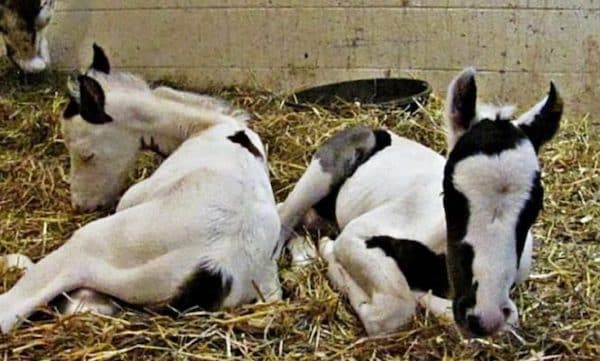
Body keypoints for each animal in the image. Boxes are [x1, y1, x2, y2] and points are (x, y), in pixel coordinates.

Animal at [0, 44, 282, 332]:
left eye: (86, 154)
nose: (81, 205)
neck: (211, 126)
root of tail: (213, 271)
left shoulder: (134, 196)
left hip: (94, 245)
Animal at [276, 68, 564, 338]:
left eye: (535, 207)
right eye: (450, 194)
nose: (485, 315)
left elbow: (505, 319)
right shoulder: (355, 234)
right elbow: (394, 310)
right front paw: (331, 257)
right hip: (322, 171)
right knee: (283, 217)